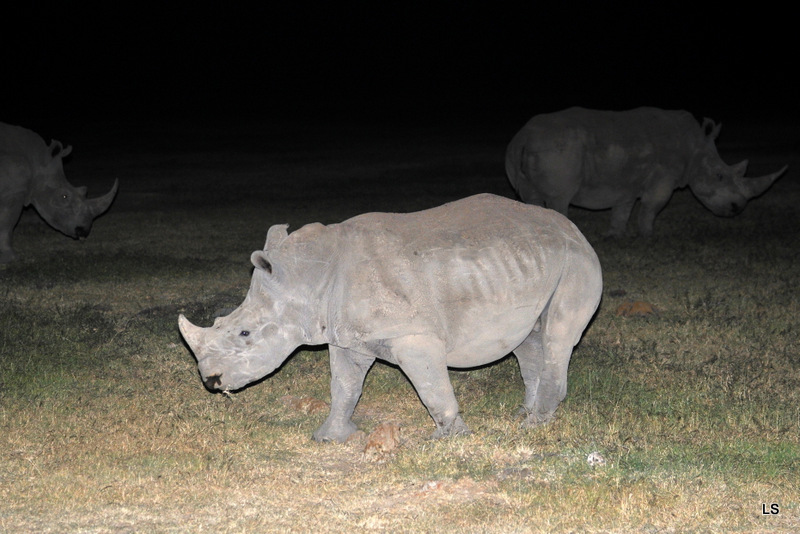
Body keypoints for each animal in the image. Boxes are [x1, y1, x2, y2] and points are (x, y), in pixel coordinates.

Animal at [0, 122, 119, 264]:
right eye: (64, 196)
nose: (83, 231)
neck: (37, 161)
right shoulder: (14, 191)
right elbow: (7, 223)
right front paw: (10, 259)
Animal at [177, 194, 600, 444]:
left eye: (245, 332)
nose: (211, 381)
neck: (305, 277)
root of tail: (575, 230)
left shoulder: (413, 334)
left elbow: (432, 389)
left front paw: (449, 440)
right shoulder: (347, 337)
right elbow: (344, 387)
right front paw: (330, 437)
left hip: (576, 262)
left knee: (557, 338)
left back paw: (534, 425)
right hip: (534, 262)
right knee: (529, 340)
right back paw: (524, 414)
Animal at [506, 107, 788, 237]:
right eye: (720, 176)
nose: (736, 209)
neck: (695, 149)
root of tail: (523, 136)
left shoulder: (625, 180)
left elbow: (623, 209)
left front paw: (616, 235)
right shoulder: (664, 176)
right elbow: (653, 205)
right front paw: (648, 235)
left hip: (536, 146)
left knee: (531, 198)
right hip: (559, 147)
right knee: (559, 199)